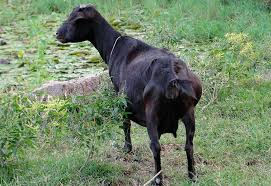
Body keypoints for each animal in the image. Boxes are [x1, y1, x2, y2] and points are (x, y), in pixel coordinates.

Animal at [56, 4, 202, 185]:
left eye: (73, 20)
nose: (57, 34)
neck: (115, 47)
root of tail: (173, 76)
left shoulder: (120, 94)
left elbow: (125, 123)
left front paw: (127, 148)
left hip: (152, 114)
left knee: (155, 146)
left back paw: (157, 179)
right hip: (189, 112)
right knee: (189, 144)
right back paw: (192, 175)